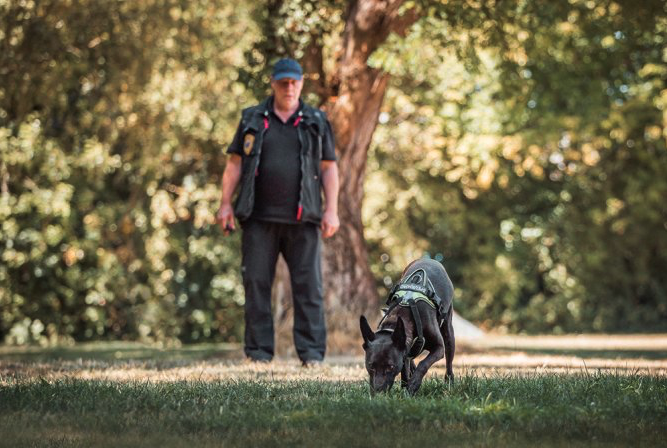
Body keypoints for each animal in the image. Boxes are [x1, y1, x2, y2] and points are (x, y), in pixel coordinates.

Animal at [360, 258, 454, 394]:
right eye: (370, 366)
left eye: (391, 367)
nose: (378, 392)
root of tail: (429, 259)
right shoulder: (403, 351)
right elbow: (405, 371)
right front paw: (406, 390)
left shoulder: (438, 348)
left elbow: (424, 363)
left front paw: (414, 384)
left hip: (448, 330)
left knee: (449, 358)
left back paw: (449, 382)